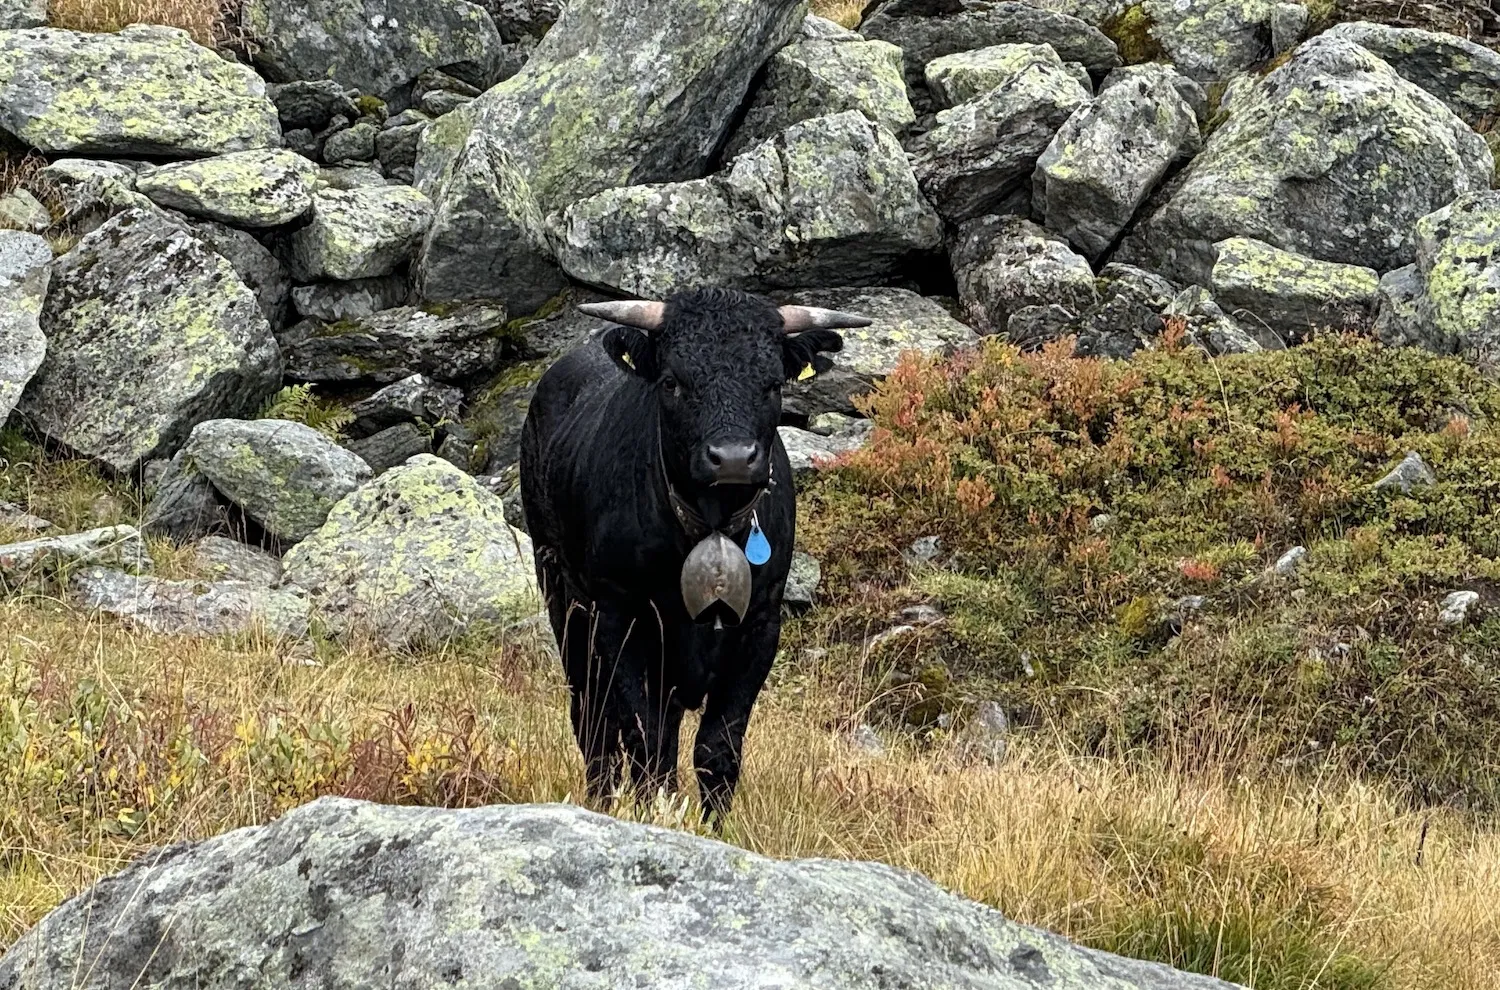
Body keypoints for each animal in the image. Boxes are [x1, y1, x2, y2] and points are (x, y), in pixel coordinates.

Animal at [519, 287, 870, 822]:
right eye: (672, 382)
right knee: (593, 719)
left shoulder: (761, 623)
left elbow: (717, 746)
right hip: (563, 594)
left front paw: (712, 825)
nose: (733, 458)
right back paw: (602, 799)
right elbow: (642, 736)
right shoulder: (619, 614)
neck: (710, 525)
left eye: (772, 383)